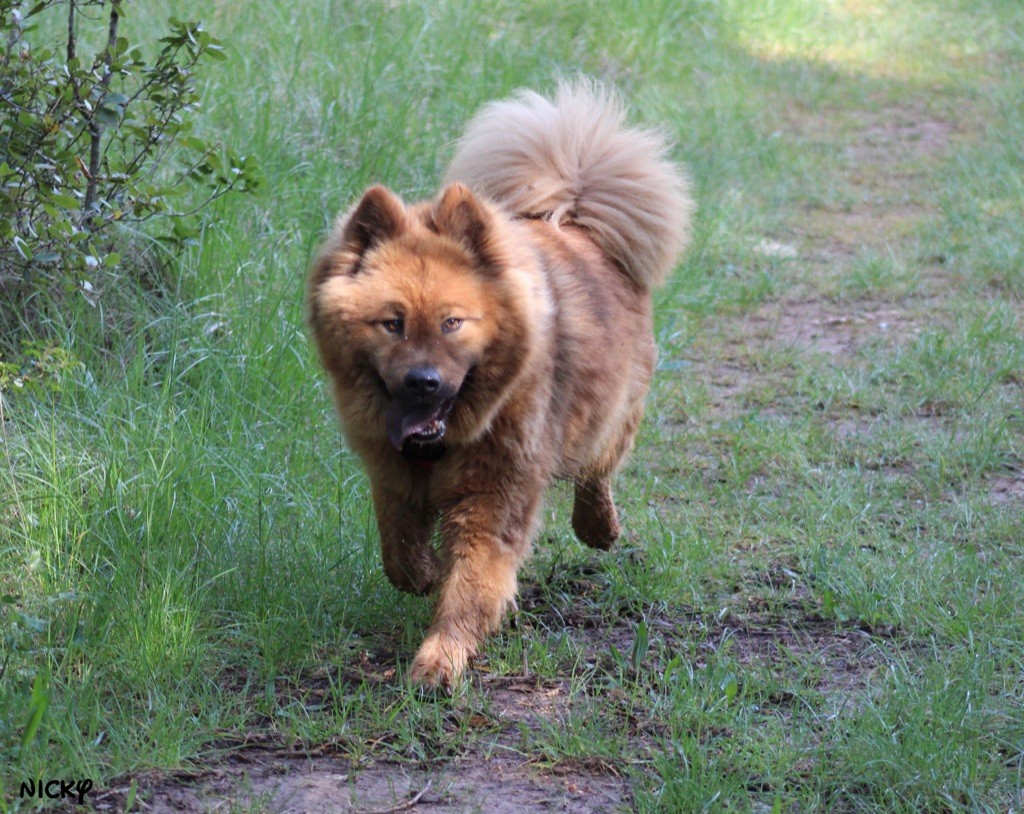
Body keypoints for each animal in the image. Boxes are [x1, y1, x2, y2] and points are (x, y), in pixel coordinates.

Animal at [303, 81, 688, 688]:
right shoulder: (392, 476)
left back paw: (599, 528)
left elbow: (471, 584)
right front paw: (426, 576)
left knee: (598, 471)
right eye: (392, 323)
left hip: (614, 410)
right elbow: (400, 556)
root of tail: (571, 218)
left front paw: (440, 660)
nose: (423, 382)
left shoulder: (494, 494)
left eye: (452, 323)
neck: (440, 443)